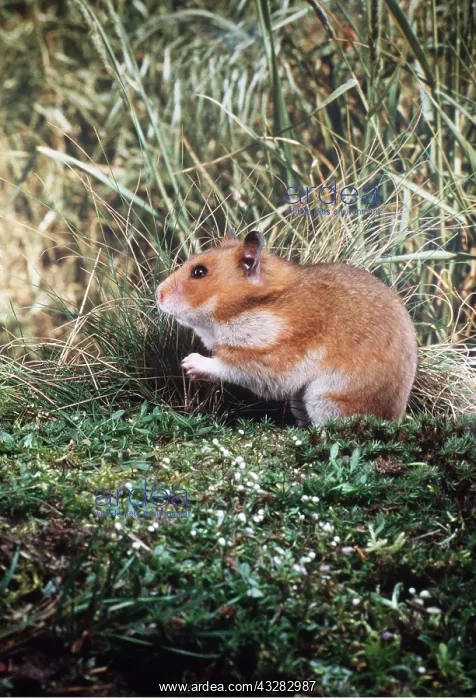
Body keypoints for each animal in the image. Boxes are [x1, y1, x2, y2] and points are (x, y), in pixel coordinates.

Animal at [156, 229, 418, 426]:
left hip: (325, 397)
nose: (158, 294)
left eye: (199, 272)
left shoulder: (271, 361)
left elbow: (227, 365)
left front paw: (189, 363)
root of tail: (393, 419)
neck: (252, 307)